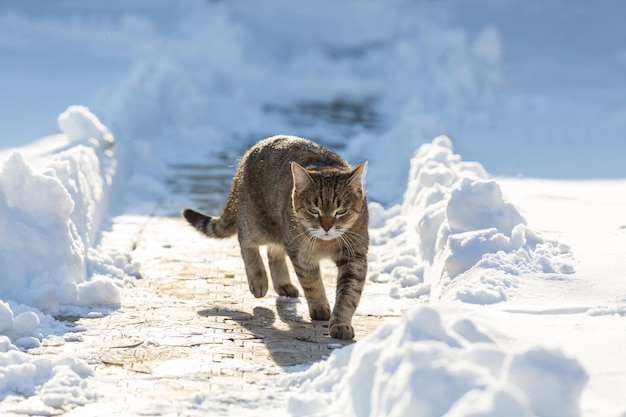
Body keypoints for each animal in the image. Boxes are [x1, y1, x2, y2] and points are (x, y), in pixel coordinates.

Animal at [180, 135, 366, 340]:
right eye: (313, 210)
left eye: (340, 211)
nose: (326, 227)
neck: (325, 244)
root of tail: (250, 152)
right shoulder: (301, 254)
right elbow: (312, 283)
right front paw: (319, 307)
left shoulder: (354, 257)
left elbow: (349, 294)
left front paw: (341, 323)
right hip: (258, 224)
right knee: (245, 240)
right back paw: (258, 279)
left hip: (280, 229)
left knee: (274, 251)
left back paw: (283, 284)